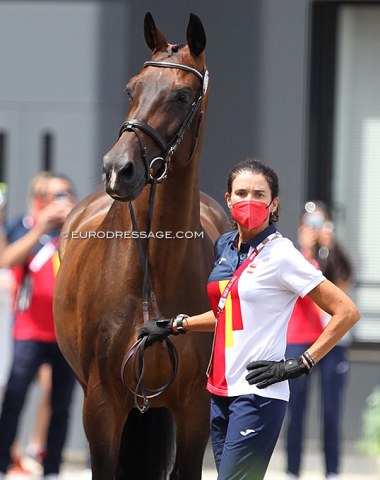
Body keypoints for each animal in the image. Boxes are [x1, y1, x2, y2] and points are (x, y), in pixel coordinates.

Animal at [53, 12, 229, 480]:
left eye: (182, 96)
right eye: (131, 89)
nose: (119, 169)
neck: (152, 272)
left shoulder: (193, 409)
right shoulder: (102, 407)